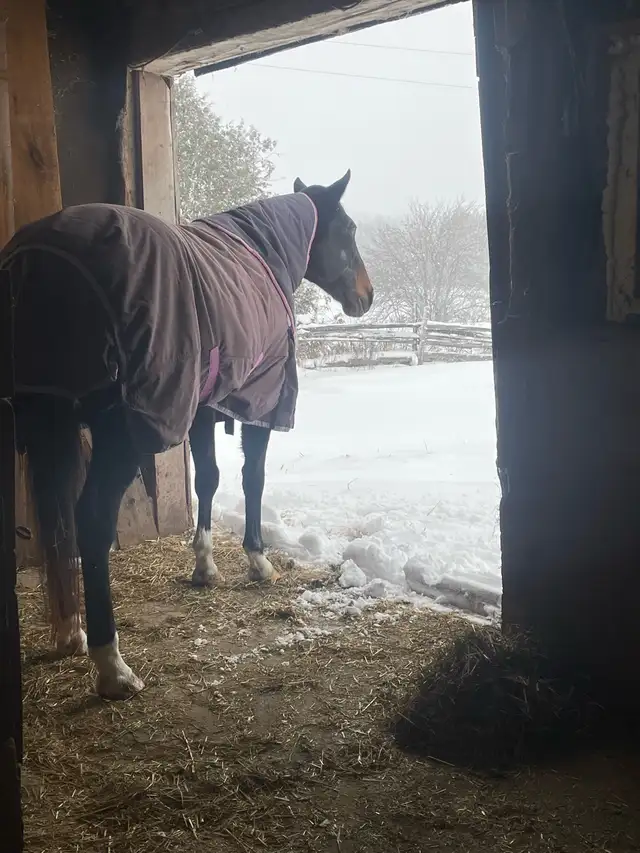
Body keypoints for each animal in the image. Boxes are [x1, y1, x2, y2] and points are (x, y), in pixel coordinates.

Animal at [4, 171, 373, 700]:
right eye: (348, 229)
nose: (367, 295)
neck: (261, 254)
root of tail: (44, 257)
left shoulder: (204, 406)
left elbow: (209, 479)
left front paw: (205, 566)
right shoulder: (260, 402)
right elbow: (252, 477)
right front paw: (257, 561)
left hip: (47, 419)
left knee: (58, 524)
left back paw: (69, 632)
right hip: (122, 434)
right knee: (91, 522)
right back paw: (112, 666)